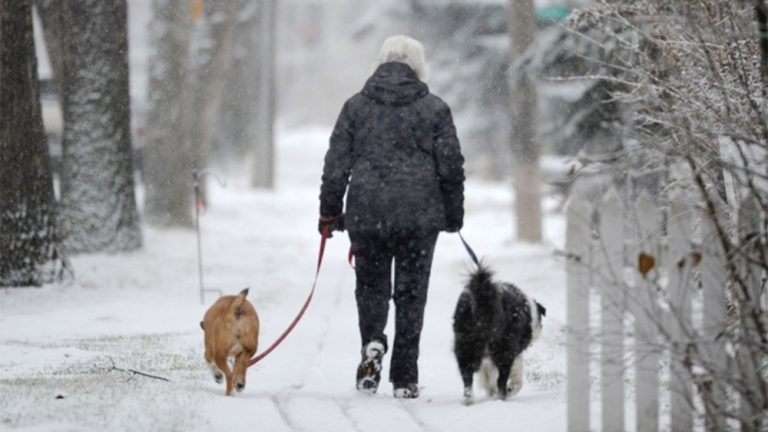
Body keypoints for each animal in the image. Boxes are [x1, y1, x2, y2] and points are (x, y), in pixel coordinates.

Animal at [450, 264, 544, 404]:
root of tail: (484, 297)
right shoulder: (514, 351)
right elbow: (517, 377)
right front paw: (509, 389)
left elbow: (487, 375)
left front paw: (490, 391)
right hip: (503, 348)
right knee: (501, 380)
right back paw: (501, 397)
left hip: (465, 345)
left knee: (467, 376)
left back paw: (469, 400)